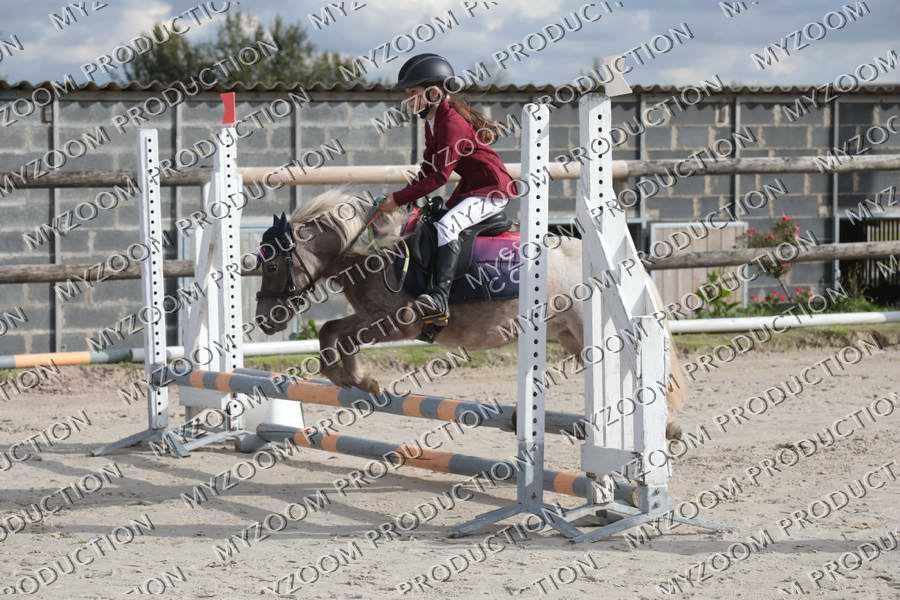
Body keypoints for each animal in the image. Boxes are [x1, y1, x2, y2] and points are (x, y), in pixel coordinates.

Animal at [253, 189, 687, 439]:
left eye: (272, 264)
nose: (264, 320)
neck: (371, 251)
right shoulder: (374, 318)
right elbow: (330, 332)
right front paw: (351, 380)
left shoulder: (398, 322)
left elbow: (335, 333)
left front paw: (363, 380)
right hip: (571, 337)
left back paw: (660, 429)